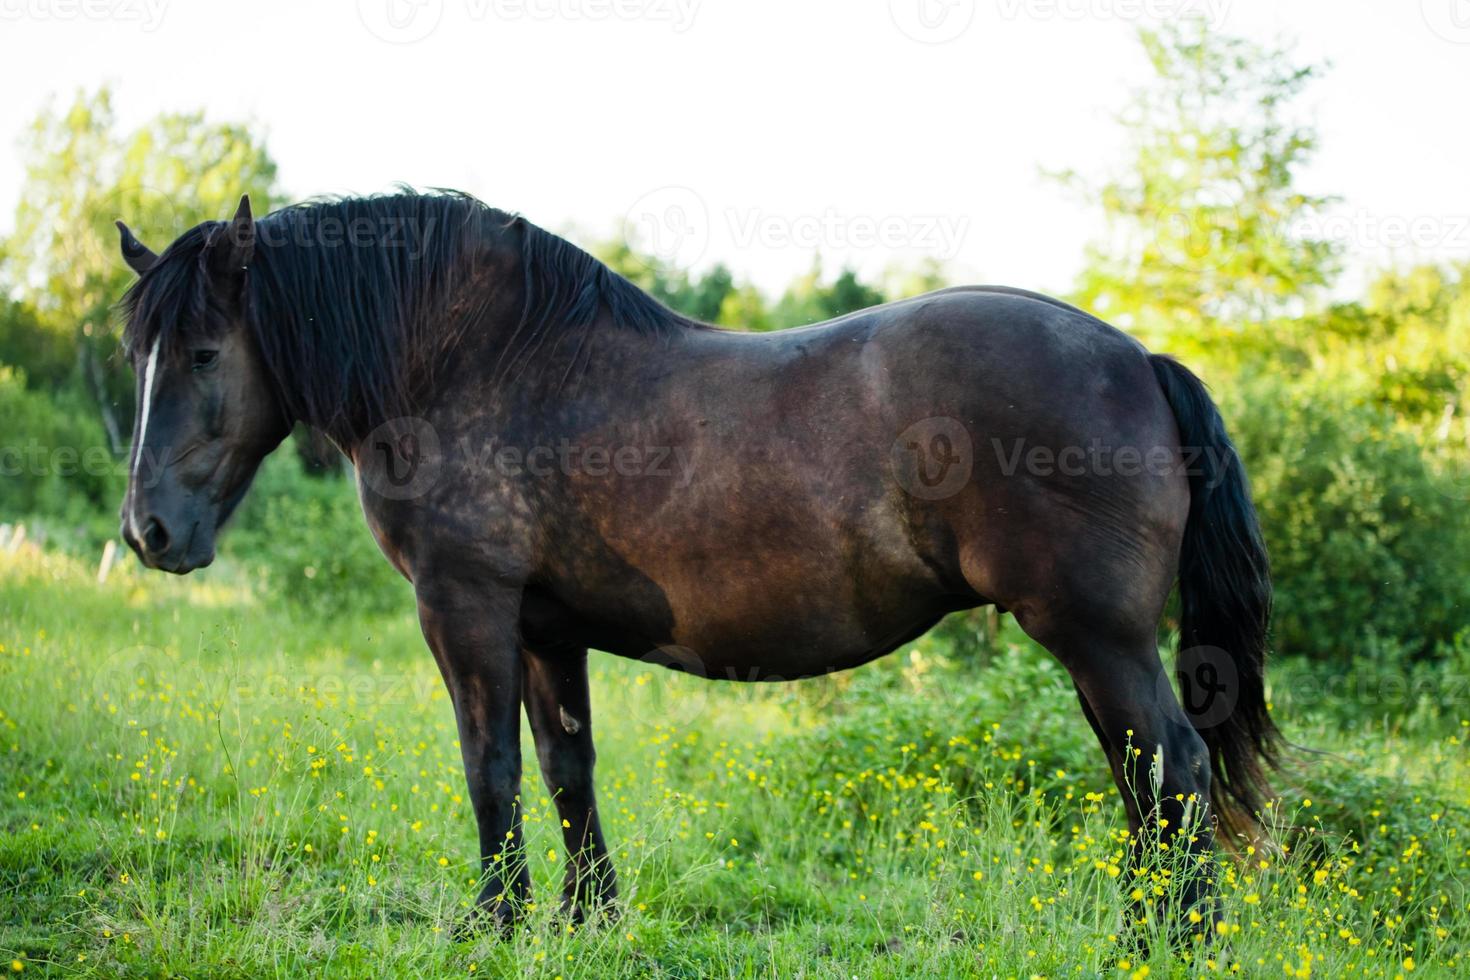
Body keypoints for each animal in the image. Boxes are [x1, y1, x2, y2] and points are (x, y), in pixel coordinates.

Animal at [111, 189, 1275, 934]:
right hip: (1094, 647)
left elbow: (491, 769)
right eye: (140, 354)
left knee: (1175, 768)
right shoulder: (544, 629)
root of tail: (1137, 359)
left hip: (1097, 637)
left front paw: (493, 923)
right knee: (1142, 778)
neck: (472, 363)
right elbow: (565, 767)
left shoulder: (466, 608)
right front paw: (588, 919)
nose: (147, 531)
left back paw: (1166, 941)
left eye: (205, 352)